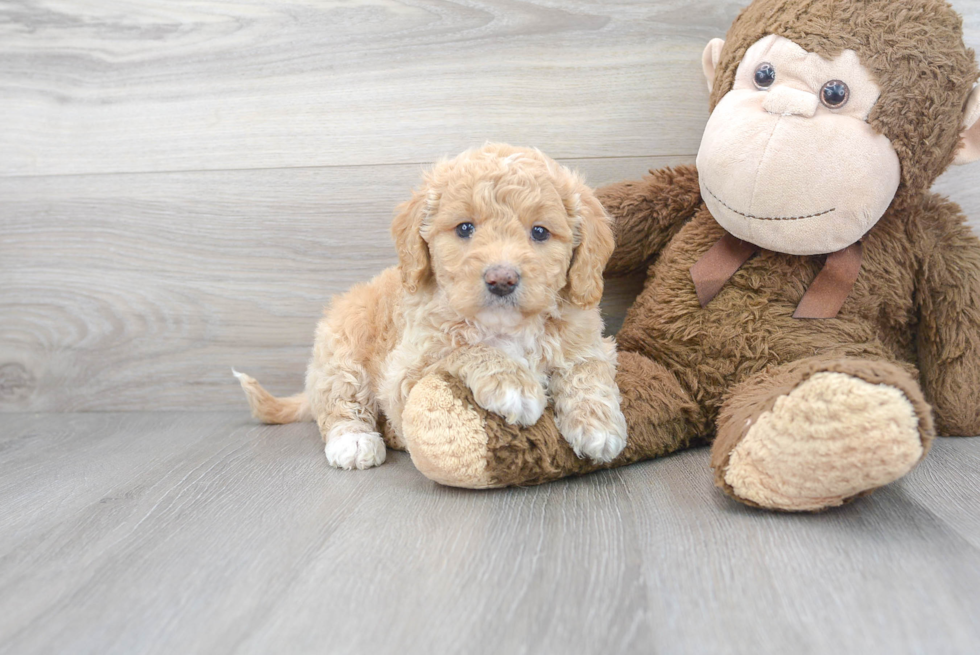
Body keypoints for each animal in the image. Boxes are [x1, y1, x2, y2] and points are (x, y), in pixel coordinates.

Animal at [235, 144, 628, 472]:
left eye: (540, 232)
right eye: (465, 228)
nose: (501, 279)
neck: (506, 327)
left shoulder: (588, 342)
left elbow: (587, 371)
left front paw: (599, 426)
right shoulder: (406, 369)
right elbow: (465, 350)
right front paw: (514, 384)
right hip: (342, 348)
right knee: (340, 400)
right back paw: (356, 440)